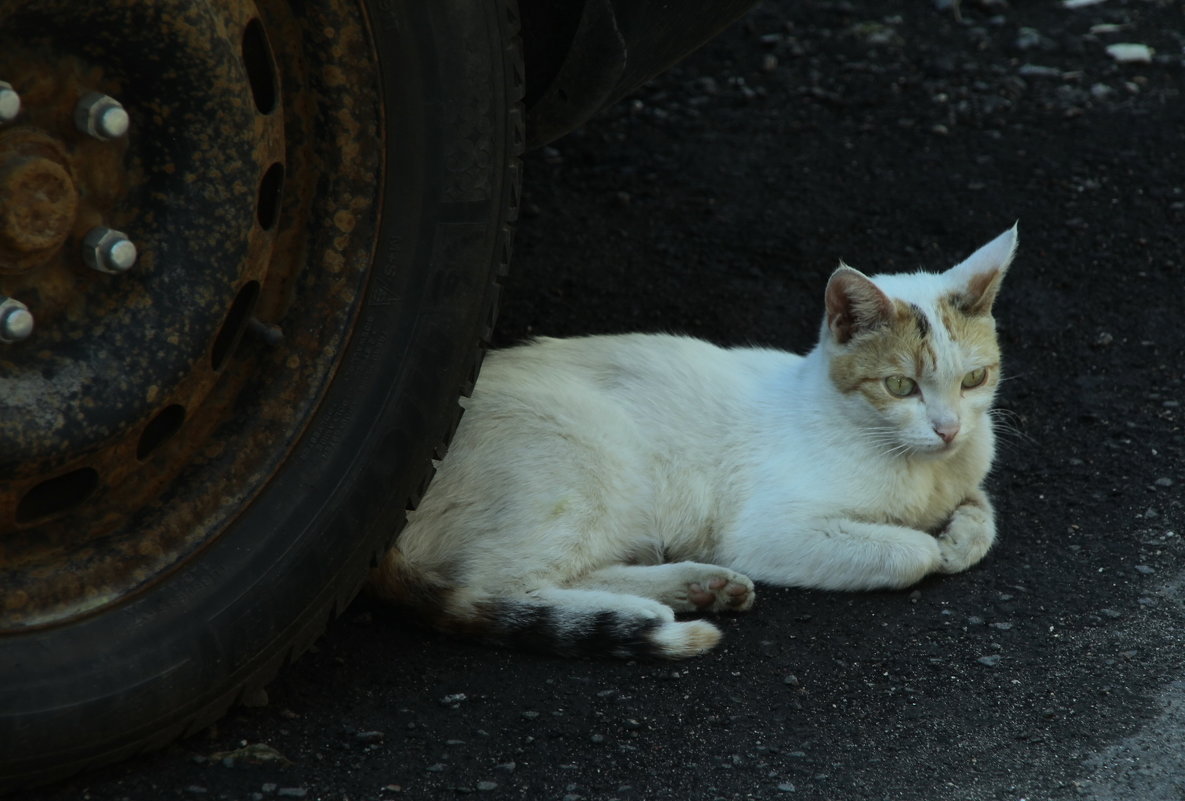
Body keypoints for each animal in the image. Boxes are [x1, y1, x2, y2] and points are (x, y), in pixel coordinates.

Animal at [369, 223, 1019, 658]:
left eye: (974, 379)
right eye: (900, 385)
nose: (948, 428)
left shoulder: (967, 470)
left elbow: (983, 510)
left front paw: (961, 534)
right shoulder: (765, 531)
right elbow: (912, 553)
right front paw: (933, 545)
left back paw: (698, 587)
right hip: (582, 462)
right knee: (495, 583)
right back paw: (648, 609)